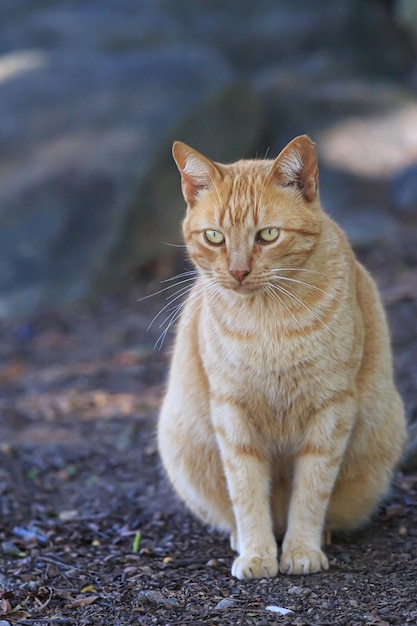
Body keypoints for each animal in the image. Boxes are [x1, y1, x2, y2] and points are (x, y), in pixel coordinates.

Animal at [157, 134, 406, 576]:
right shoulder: (232, 412)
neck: (267, 322)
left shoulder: (331, 409)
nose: (238, 272)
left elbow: (312, 490)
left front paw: (302, 549)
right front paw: (257, 554)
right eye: (215, 237)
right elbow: (245, 489)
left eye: (268, 235)